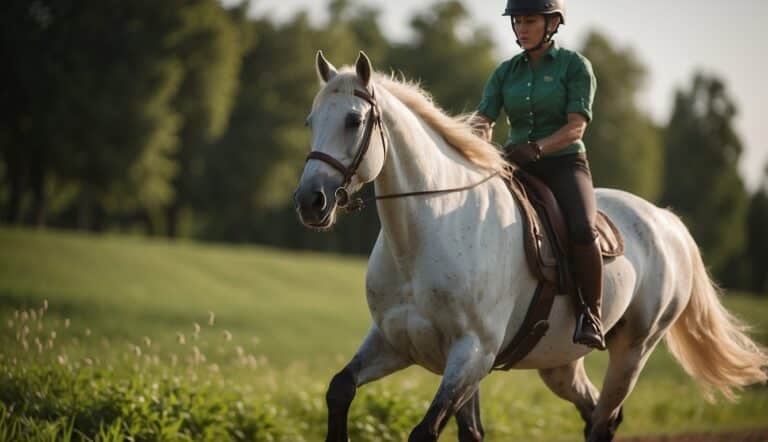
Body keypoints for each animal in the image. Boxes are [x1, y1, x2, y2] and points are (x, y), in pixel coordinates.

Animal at [292, 52, 768, 442]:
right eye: (310, 121)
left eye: (354, 121)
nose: (309, 201)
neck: (424, 236)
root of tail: (667, 223)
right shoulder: (395, 343)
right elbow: (340, 390)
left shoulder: (472, 354)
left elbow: (424, 432)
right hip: (559, 363)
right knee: (594, 413)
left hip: (634, 350)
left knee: (604, 420)